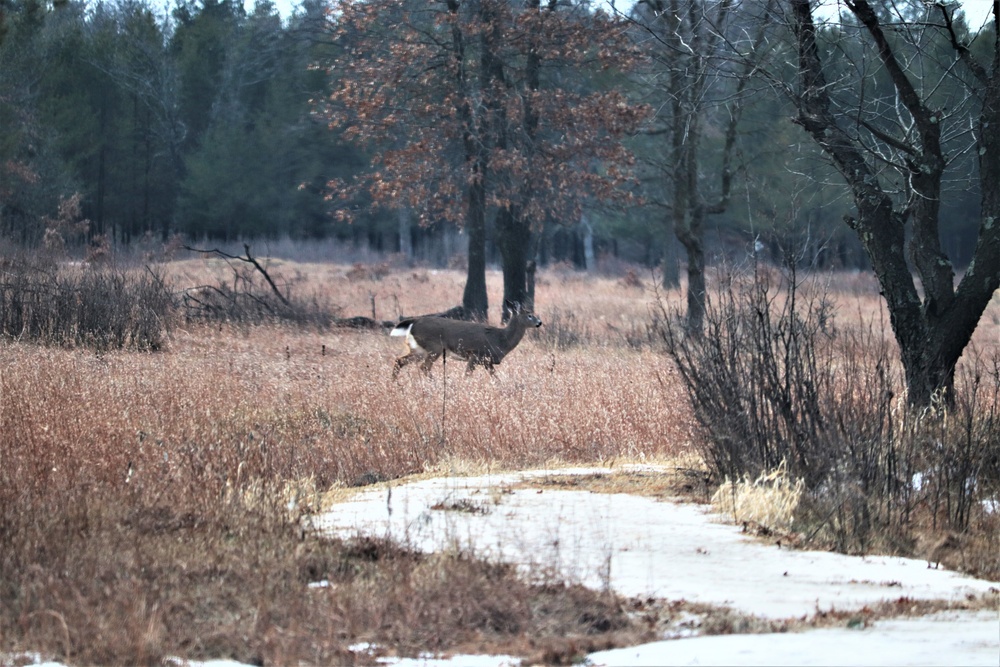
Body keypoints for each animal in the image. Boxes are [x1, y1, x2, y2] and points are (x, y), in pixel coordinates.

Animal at [390, 302, 544, 378]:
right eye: (529, 315)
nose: (539, 322)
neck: (501, 340)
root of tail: (414, 322)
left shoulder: (487, 362)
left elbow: (496, 378)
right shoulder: (475, 355)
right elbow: (467, 375)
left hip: (419, 349)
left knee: (399, 360)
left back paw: (396, 384)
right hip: (434, 347)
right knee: (424, 367)